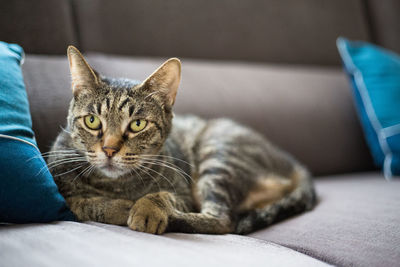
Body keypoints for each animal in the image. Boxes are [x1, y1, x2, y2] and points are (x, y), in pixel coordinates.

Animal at [47, 47, 316, 236]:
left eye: (137, 124)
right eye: (92, 121)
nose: (109, 149)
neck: (115, 186)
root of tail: (293, 164)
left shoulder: (184, 193)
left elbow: (161, 196)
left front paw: (145, 208)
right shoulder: (62, 190)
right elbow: (80, 202)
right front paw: (119, 207)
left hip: (218, 153)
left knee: (222, 220)